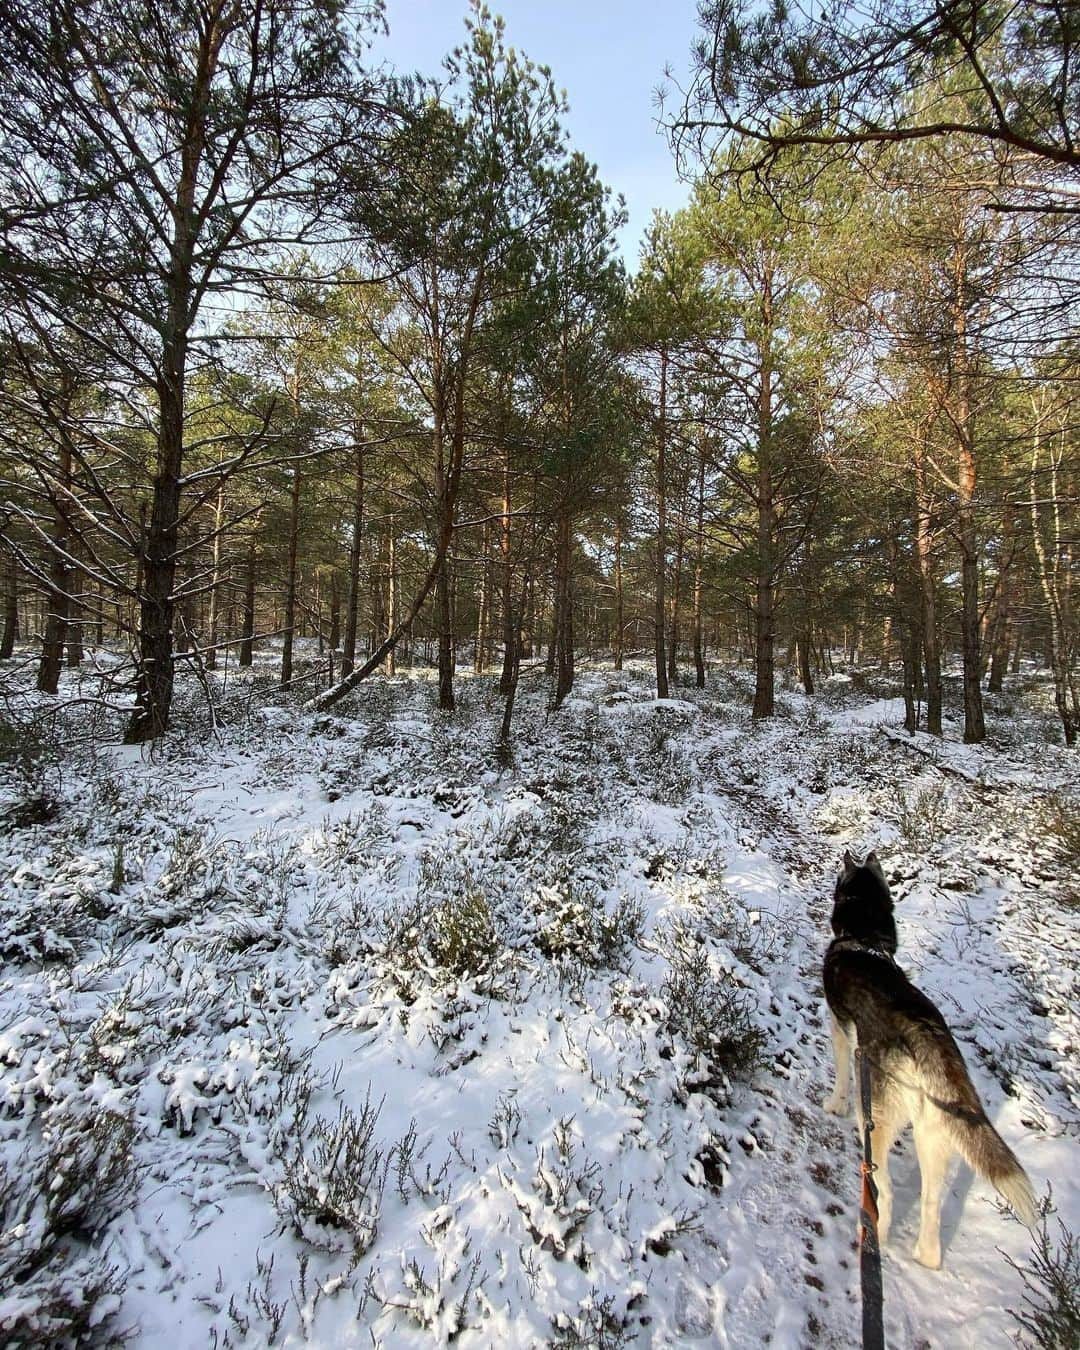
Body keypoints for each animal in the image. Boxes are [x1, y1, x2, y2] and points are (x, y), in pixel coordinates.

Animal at [826, 853, 1036, 1263]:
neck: (864, 940)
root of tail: (925, 1037)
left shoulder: (839, 1030)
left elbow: (841, 1076)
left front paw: (834, 1104)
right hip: (935, 1134)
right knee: (932, 1202)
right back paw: (926, 1256)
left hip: (878, 1119)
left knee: (884, 1189)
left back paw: (872, 1234)